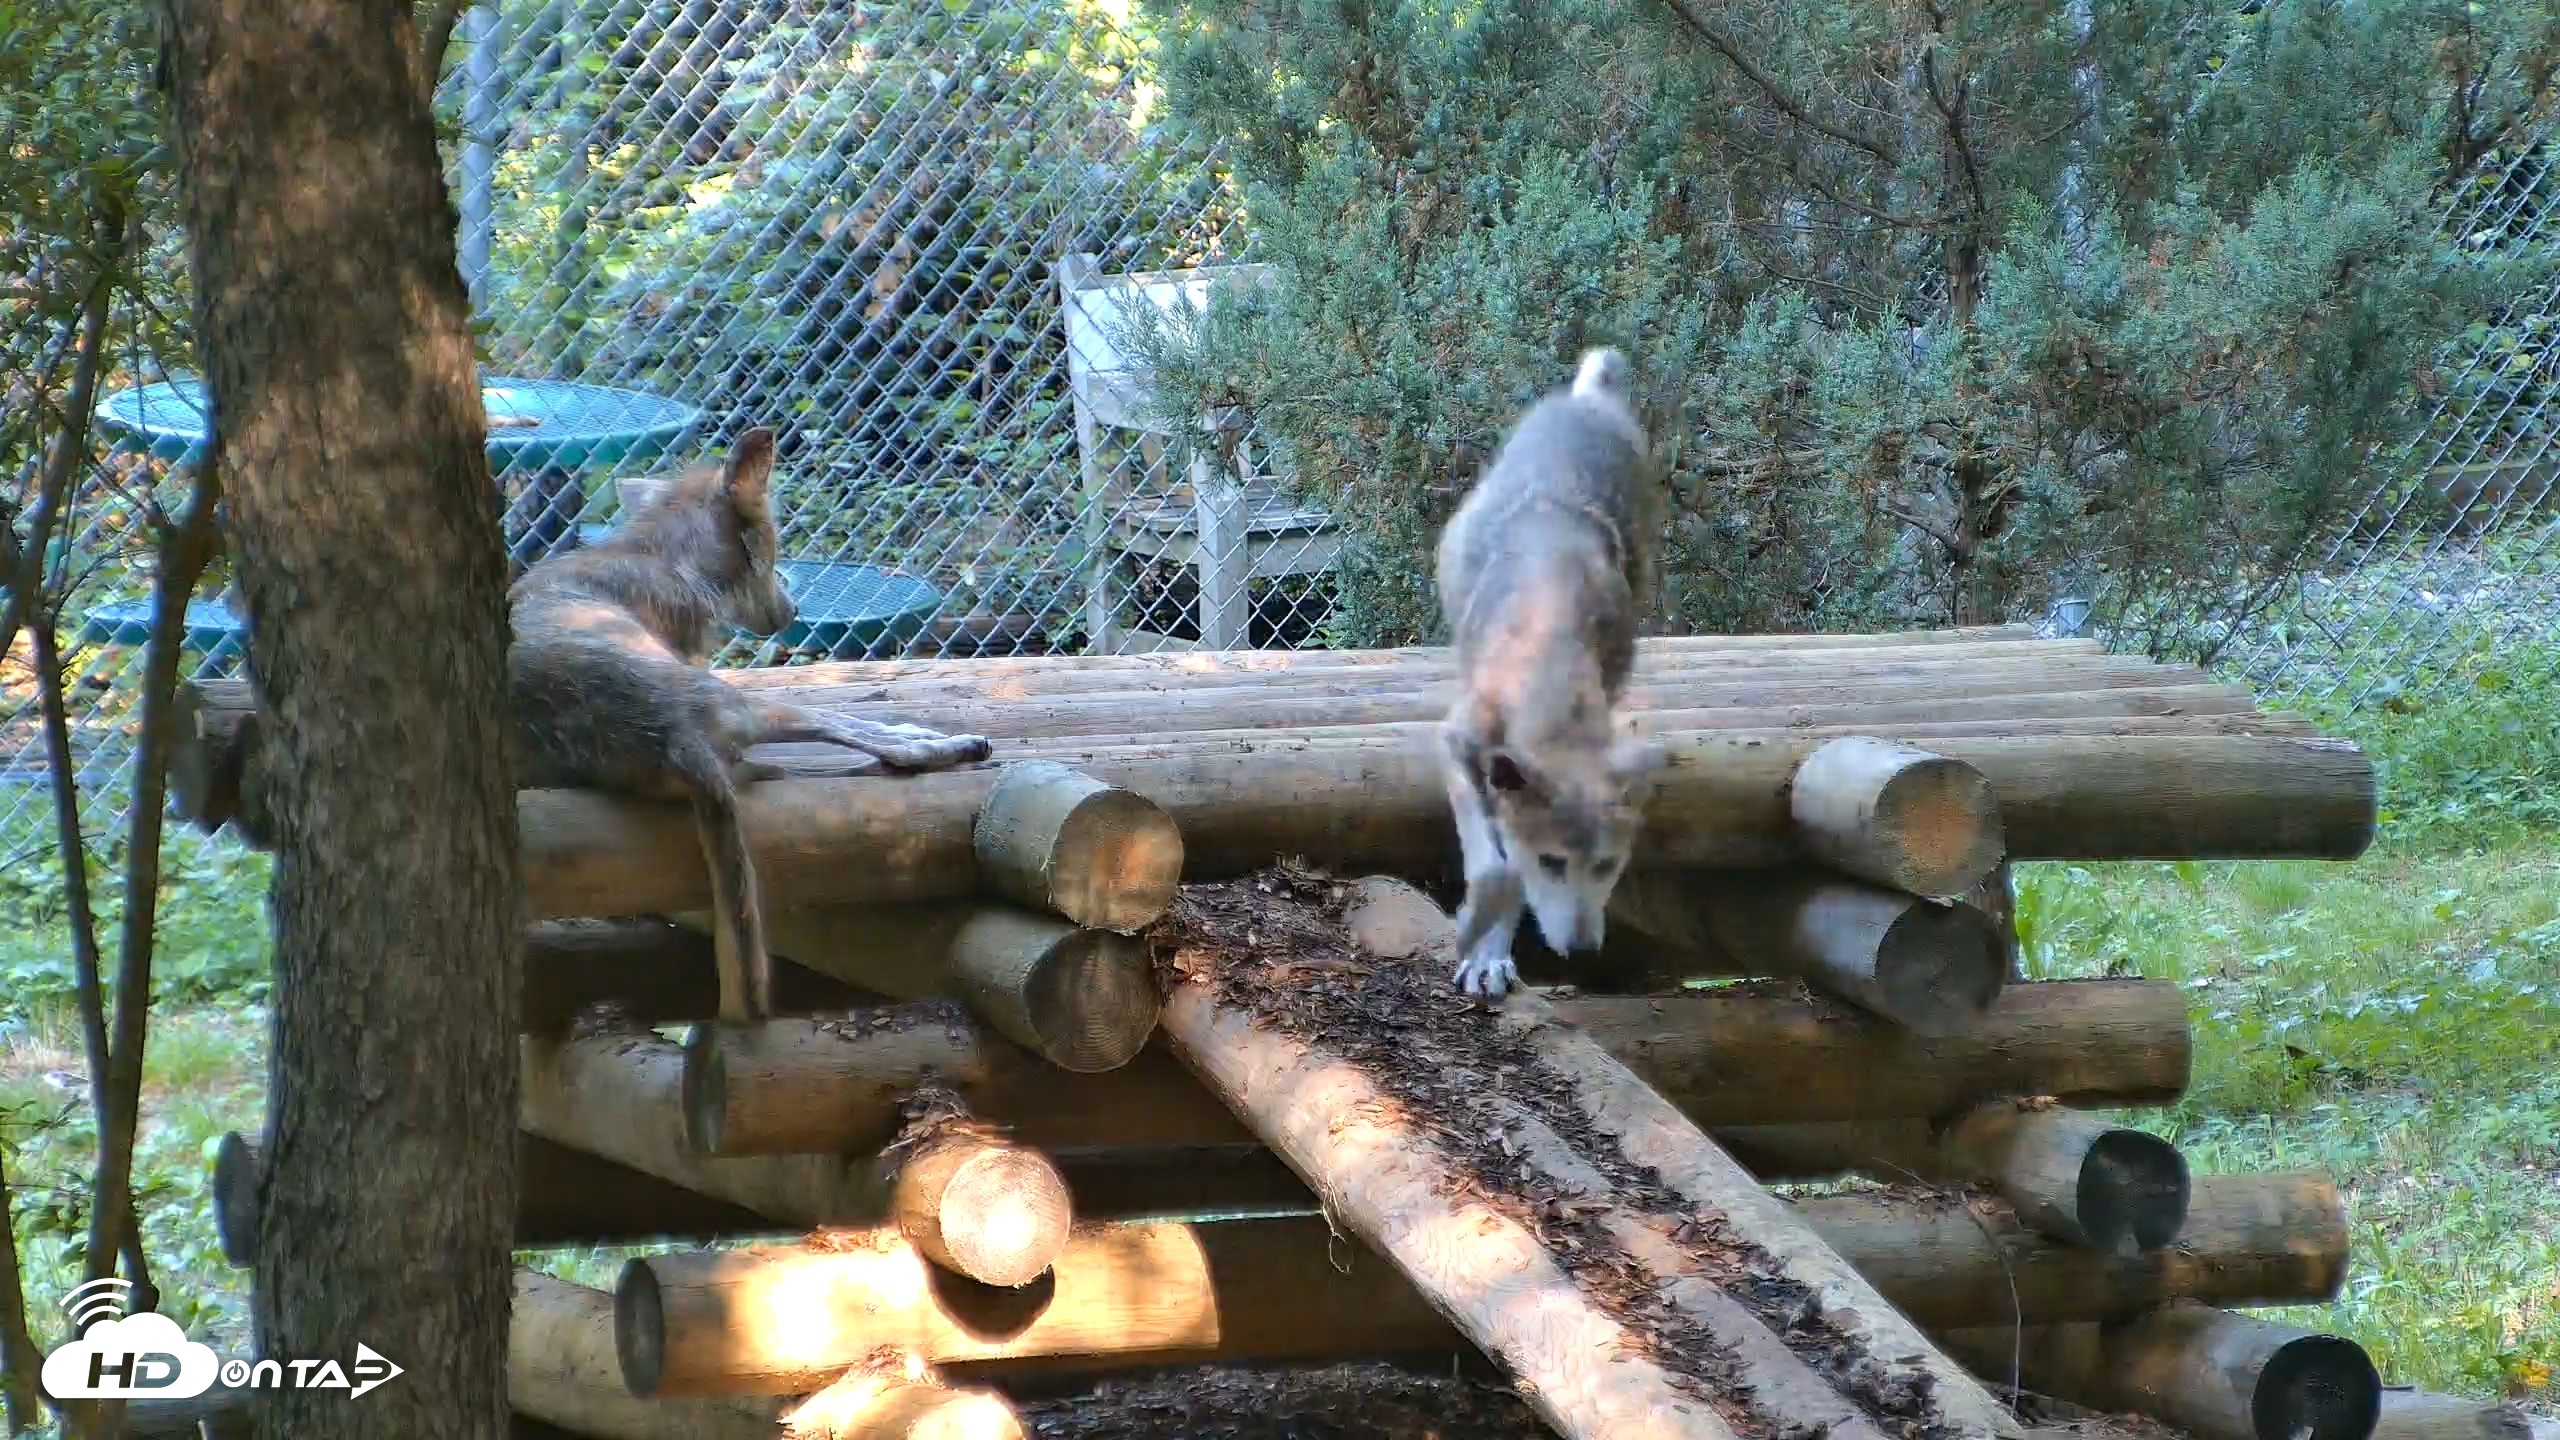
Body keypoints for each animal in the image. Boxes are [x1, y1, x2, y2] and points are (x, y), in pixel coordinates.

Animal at [510, 426, 992, 1023]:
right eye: (771, 549)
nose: (791, 614)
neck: (663, 556)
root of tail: (669, 737)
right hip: (741, 703)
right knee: (864, 738)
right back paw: (943, 742)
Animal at [1434, 347, 1669, 997]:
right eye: (1553, 863)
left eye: (1607, 865)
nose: (1585, 951)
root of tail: (1589, 398)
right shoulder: (1456, 745)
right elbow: (1496, 866)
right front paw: (1472, 933)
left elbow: (1507, 870)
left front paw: (1489, 952)